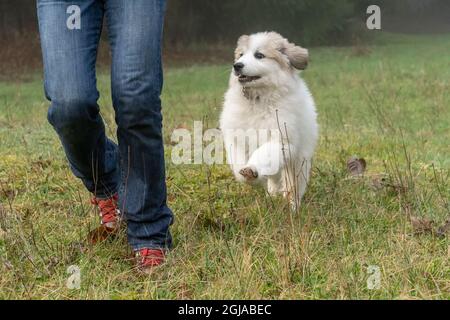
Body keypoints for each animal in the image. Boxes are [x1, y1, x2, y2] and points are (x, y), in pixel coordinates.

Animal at [220, 31, 318, 208]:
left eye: (259, 55)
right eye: (241, 55)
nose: (237, 65)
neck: (258, 99)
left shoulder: (281, 140)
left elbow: (264, 153)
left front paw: (251, 170)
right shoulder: (235, 136)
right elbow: (237, 159)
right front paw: (245, 175)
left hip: (299, 159)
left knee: (294, 183)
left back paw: (293, 205)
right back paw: (272, 194)